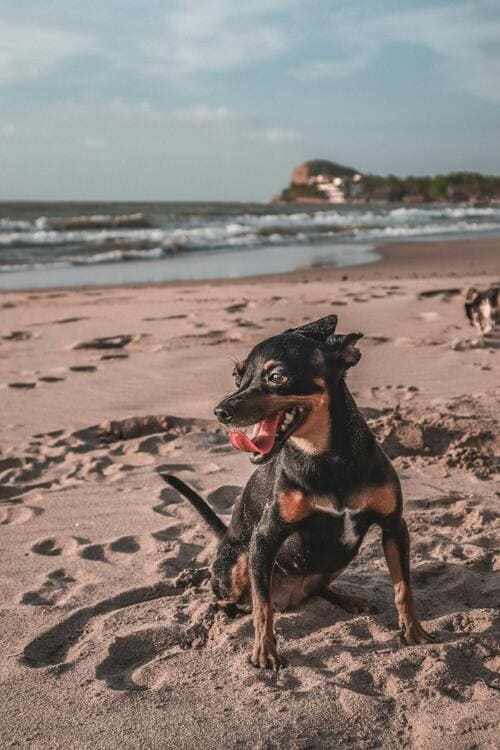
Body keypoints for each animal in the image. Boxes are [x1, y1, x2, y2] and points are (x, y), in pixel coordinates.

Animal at [162, 314, 432, 672]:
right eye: (237, 376)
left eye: (277, 377)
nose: (220, 412)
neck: (325, 457)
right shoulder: (265, 538)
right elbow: (263, 609)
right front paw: (265, 652)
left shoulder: (394, 527)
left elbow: (404, 588)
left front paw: (414, 631)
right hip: (239, 562)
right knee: (236, 600)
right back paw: (214, 620)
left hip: (339, 557)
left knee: (320, 588)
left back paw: (348, 599)